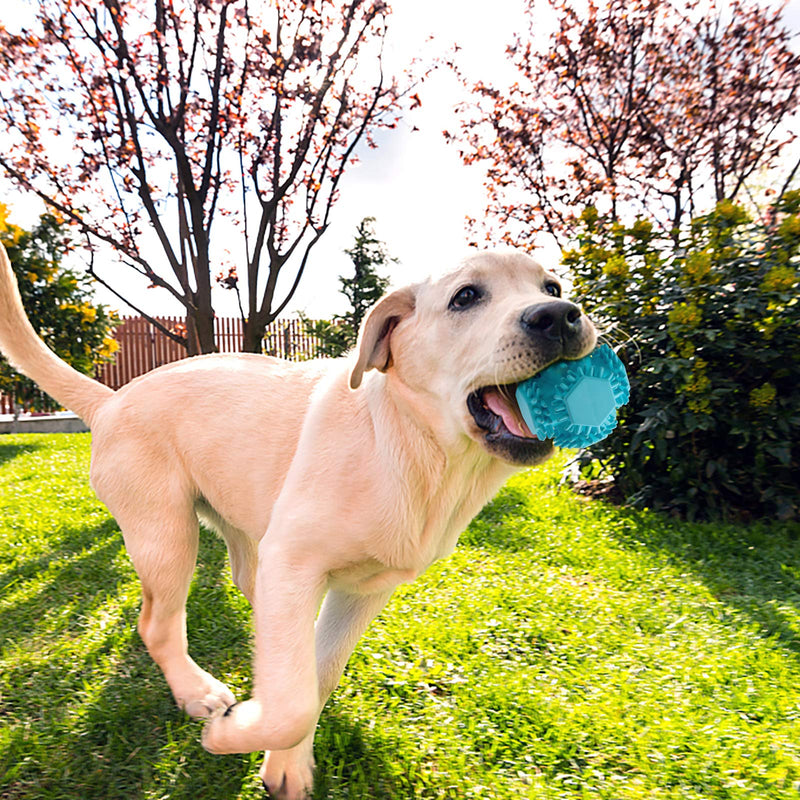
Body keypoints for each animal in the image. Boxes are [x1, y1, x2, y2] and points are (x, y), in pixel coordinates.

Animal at [0, 245, 596, 800]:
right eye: (466, 297)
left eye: (553, 285)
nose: (560, 315)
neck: (410, 447)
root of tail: (111, 400)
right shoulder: (296, 563)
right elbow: (291, 702)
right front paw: (236, 733)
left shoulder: (362, 589)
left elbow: (315, 676)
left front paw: (286, 757)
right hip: (167, 536)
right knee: (158, 625)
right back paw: (198, 694)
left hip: (246, 537)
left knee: (256, 605)